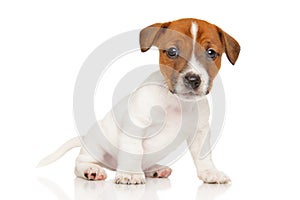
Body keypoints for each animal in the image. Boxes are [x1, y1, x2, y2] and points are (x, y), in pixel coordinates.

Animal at [38, 18, 240, 184]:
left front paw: (210, 172)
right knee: (80, 163)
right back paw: (91, 170)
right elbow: (134, 151)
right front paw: (130, 174)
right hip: (96, 147)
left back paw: (155, 169)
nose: (193, 79)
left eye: (211, 53)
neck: (177, 102)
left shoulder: (200, 131)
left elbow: (203, 156)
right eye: (172, 52)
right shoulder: (136, 124)